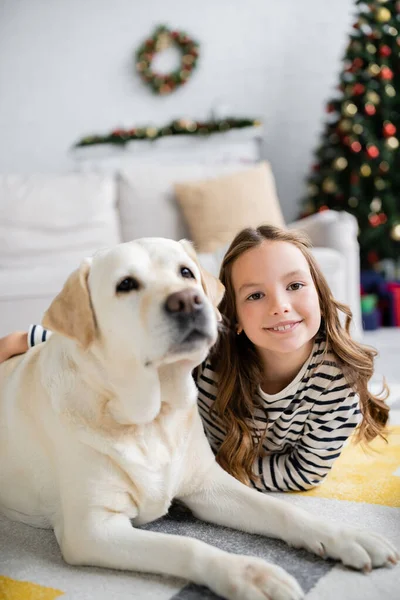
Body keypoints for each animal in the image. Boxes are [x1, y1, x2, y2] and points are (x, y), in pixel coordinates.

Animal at [0, 239, 398, 600]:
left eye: (186, 272)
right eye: (125, 284)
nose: (187, 300)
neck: (153, 417)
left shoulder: (209, 485)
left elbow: (282, 511)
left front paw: (345, 536)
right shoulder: (91, 529)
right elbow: (186, 546)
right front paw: (251, 575)